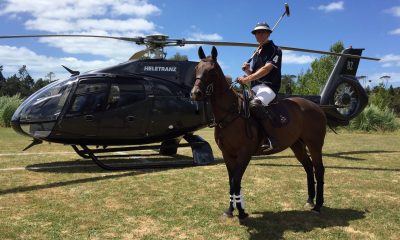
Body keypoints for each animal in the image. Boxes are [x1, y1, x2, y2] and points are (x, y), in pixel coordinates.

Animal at [191, 46, 328, 219]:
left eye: (212, 71)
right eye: (196, 68)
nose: (195, 93)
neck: (230, 114)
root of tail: (318, 107)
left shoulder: (244, 154)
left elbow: (236, 181)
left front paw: (241, 211)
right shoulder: (227, 154)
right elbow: (231, 181)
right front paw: (230, 210)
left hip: (315, 144)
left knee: (319, 169)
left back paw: (318, 205)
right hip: (297, 144)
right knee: (308, 167)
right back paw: (309, 200)